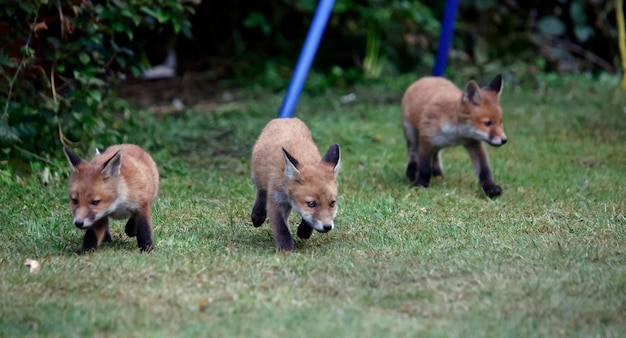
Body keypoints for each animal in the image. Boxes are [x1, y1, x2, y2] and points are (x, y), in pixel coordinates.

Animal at [250, 118, 342, 251]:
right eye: (311, 204)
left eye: (332, 203)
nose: (327, 226)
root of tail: (285, 119)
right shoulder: (275, 199)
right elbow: (281, 227)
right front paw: (286, 248)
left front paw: (304, 231)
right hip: (257, 177)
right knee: (261, 192)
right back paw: (258, 214)